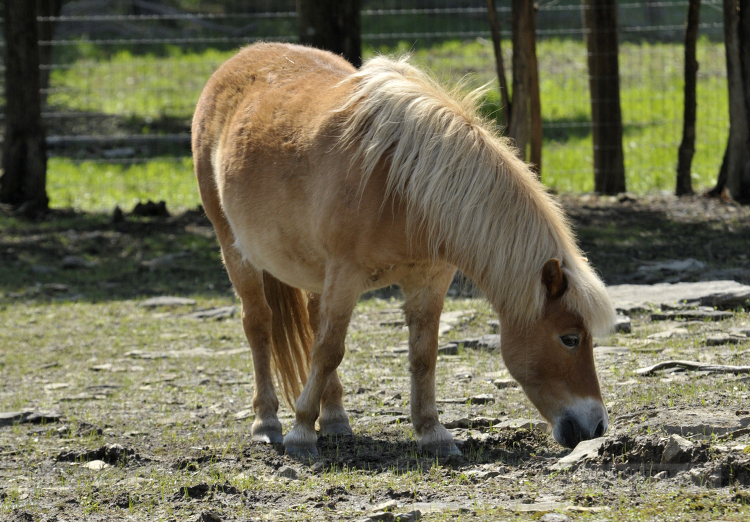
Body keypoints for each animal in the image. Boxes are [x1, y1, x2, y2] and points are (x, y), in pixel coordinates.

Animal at [192, 41, 616, 456]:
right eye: (570, 338)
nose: (595, 426)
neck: (404, 186)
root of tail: (241, 57)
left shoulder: (429, 279)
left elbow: (422, 355)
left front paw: (432, 432)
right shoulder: (346, 275)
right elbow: (329, 350)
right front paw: (300, 431)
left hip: (313, 271)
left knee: (312, 325)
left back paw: (334, 417)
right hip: (234, 249)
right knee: (259, 325)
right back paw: (267, 422)